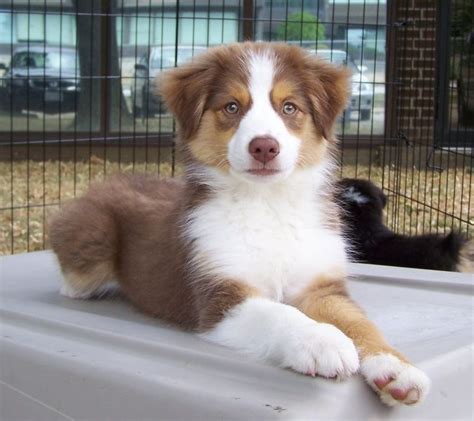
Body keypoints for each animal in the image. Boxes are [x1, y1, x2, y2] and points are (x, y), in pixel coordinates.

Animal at [49, 41, 430, 404]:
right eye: (232, 107)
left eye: (288, 107)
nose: (264, 147)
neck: (269, 203)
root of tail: (107, 180)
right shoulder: (221, 297)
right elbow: (279, 314)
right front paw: (322, 341)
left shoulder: (321, 287)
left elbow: (360, 322)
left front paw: (395, 367)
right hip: (92, 233)